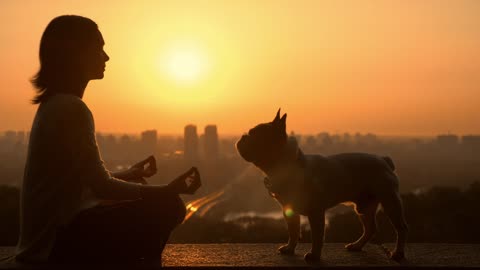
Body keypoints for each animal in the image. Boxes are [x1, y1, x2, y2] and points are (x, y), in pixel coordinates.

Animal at [234, 109, 406, 262]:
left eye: (255, 135)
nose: (242, 137)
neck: (289, 166)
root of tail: (384, 160)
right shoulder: (289, 210)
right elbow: (293, 231)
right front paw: (290, 249)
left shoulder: (315, 212)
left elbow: (317, 236)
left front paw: (314, 255)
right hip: (364, 206)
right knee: (370, 228)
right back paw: (357, 246)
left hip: (390, 201)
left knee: (401, 227)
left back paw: (398, 253)